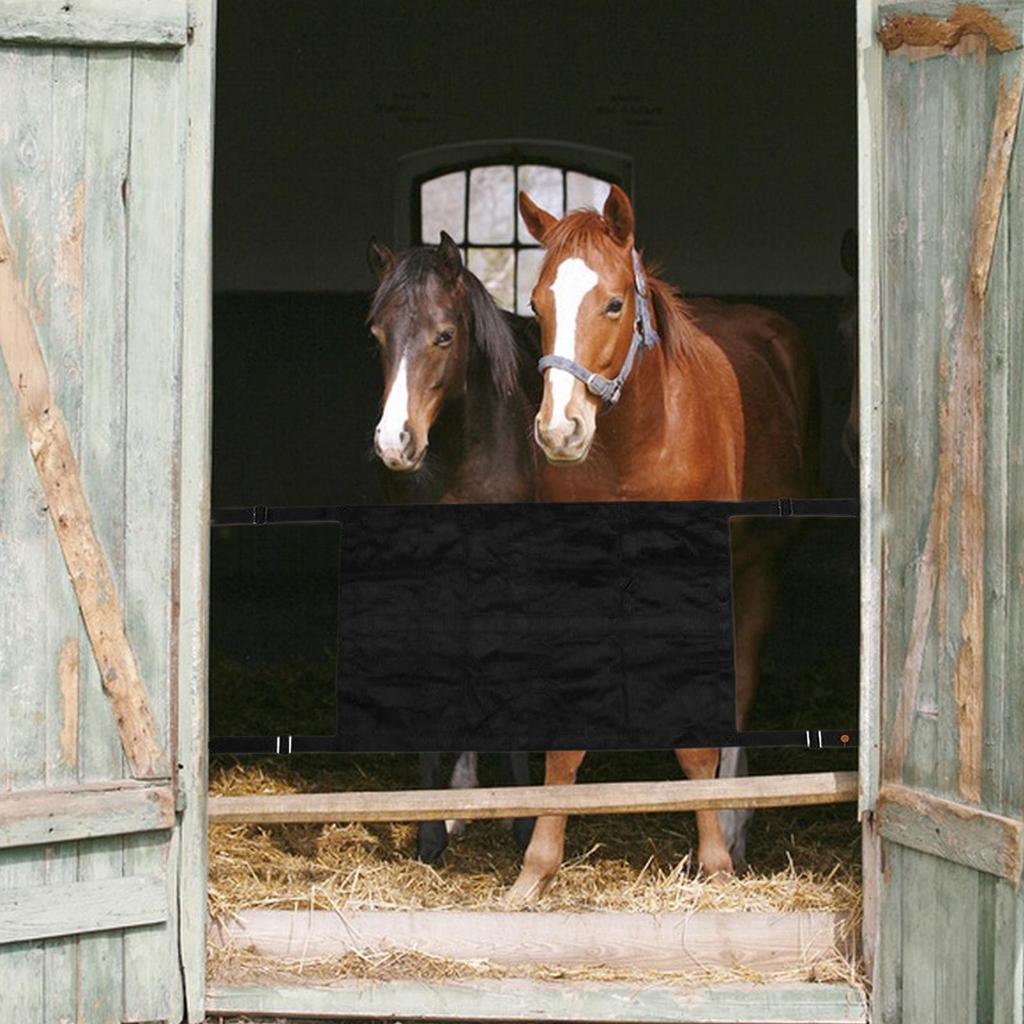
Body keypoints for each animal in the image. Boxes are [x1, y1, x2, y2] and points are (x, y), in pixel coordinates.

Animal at [505, 184, 819, 904]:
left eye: (614, 303)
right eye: (536, 306)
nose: (559, 431)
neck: (640, 441)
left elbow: (700, 738)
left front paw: (716, 859)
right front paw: (536, 868)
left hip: (759, 570)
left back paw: (733, 823)